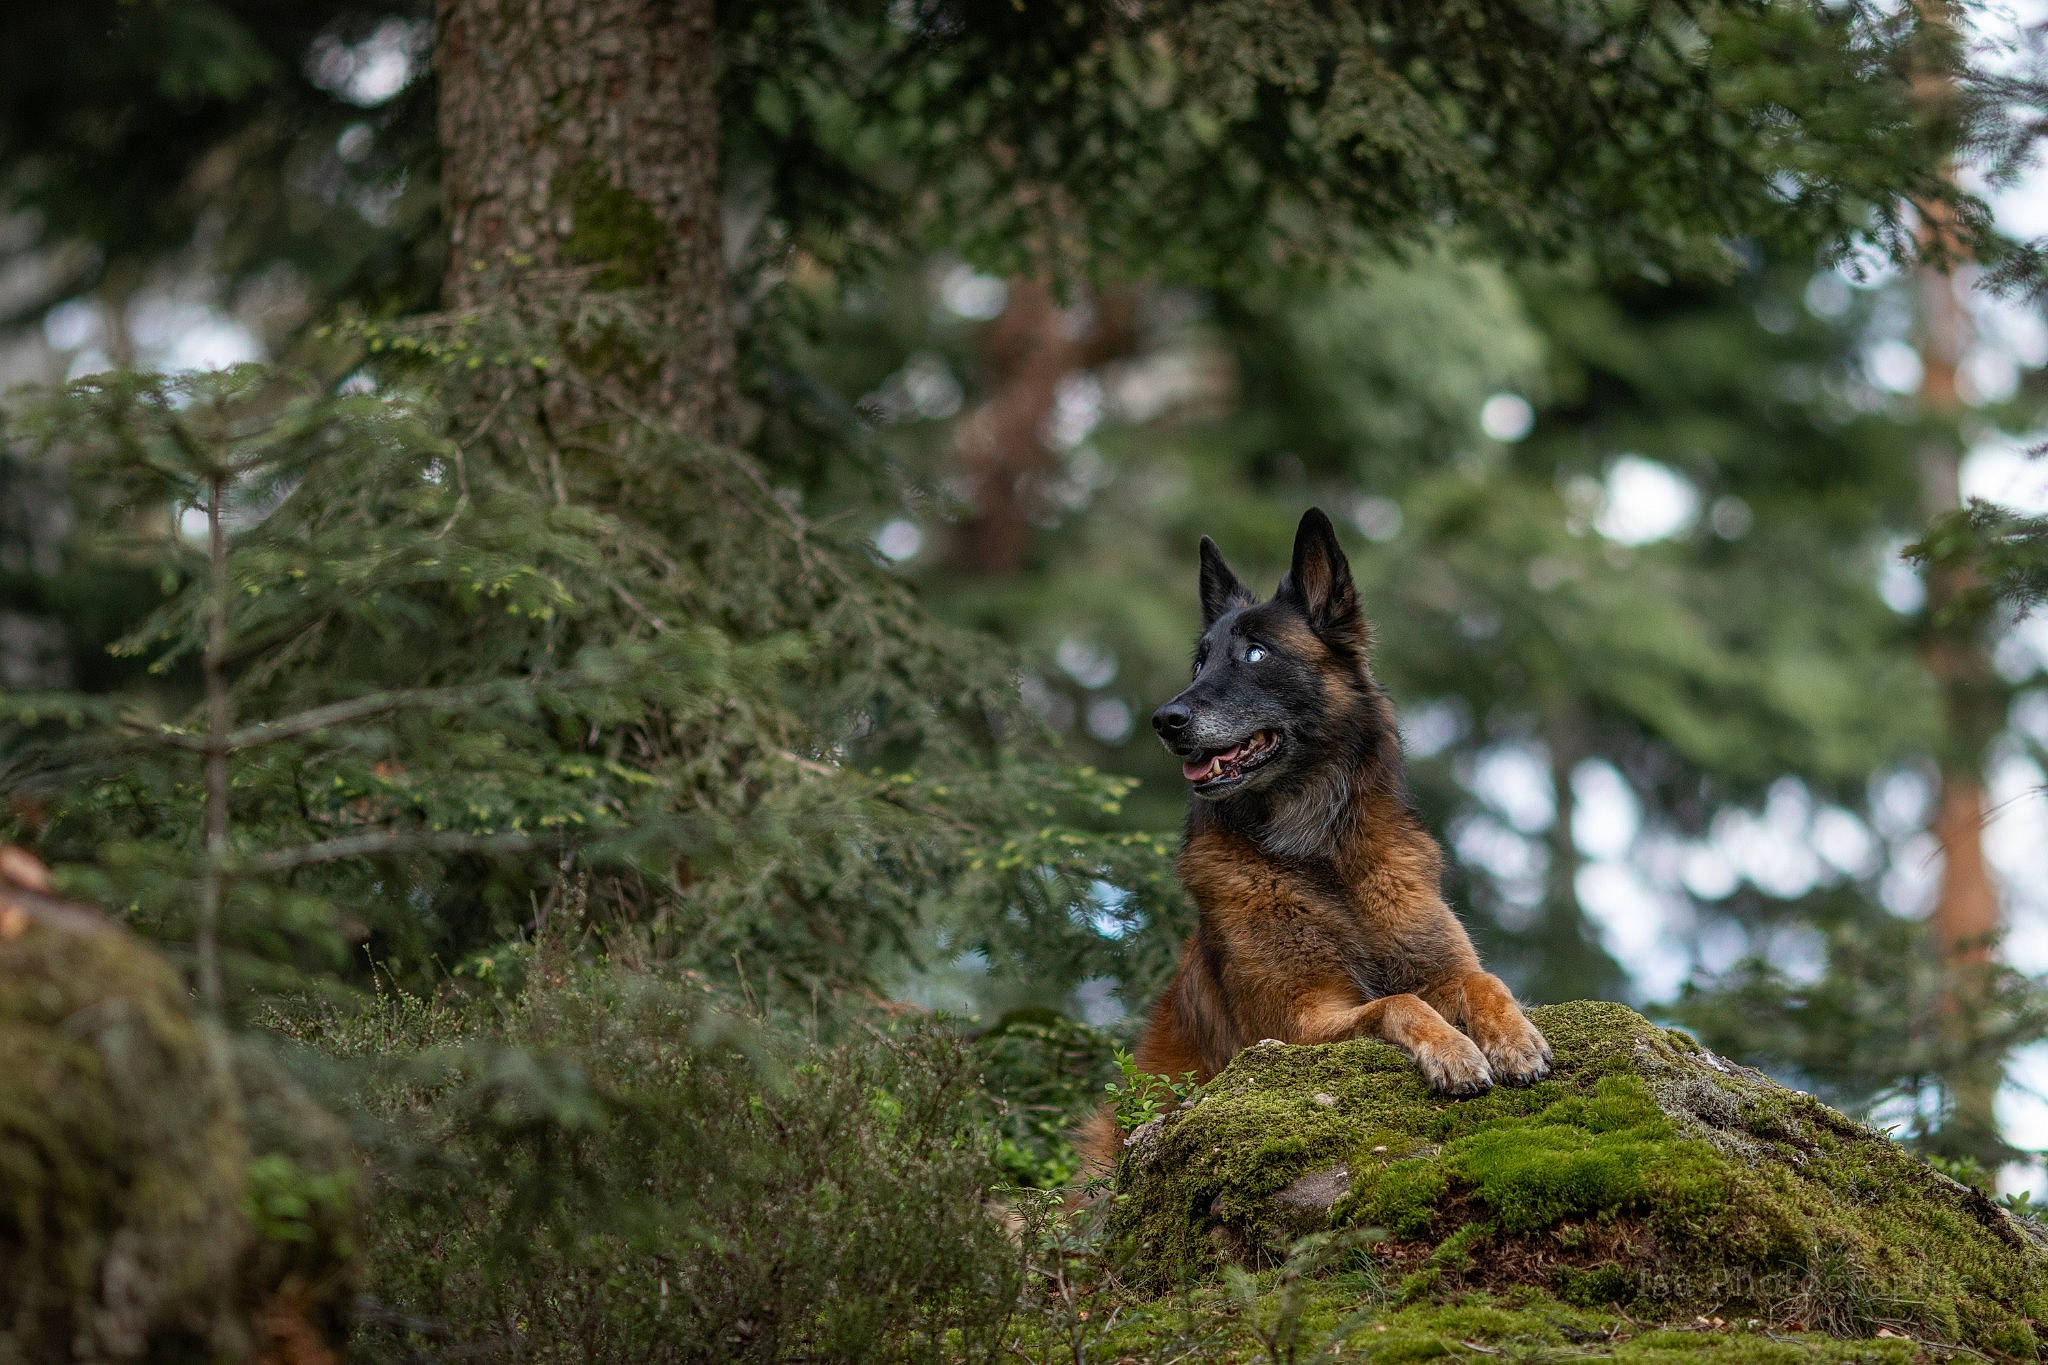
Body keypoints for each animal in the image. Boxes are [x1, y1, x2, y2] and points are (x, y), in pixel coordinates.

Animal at [1081, 508, 1550, 1174]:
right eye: (1199, 664)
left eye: (1255, 654)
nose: (1165, 721)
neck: (1318, 855)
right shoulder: (1295, 1025)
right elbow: (1397, 1003)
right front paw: (1453, 1050)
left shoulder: (1443, 962)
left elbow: (1485, 981)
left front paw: (1514, 1038)